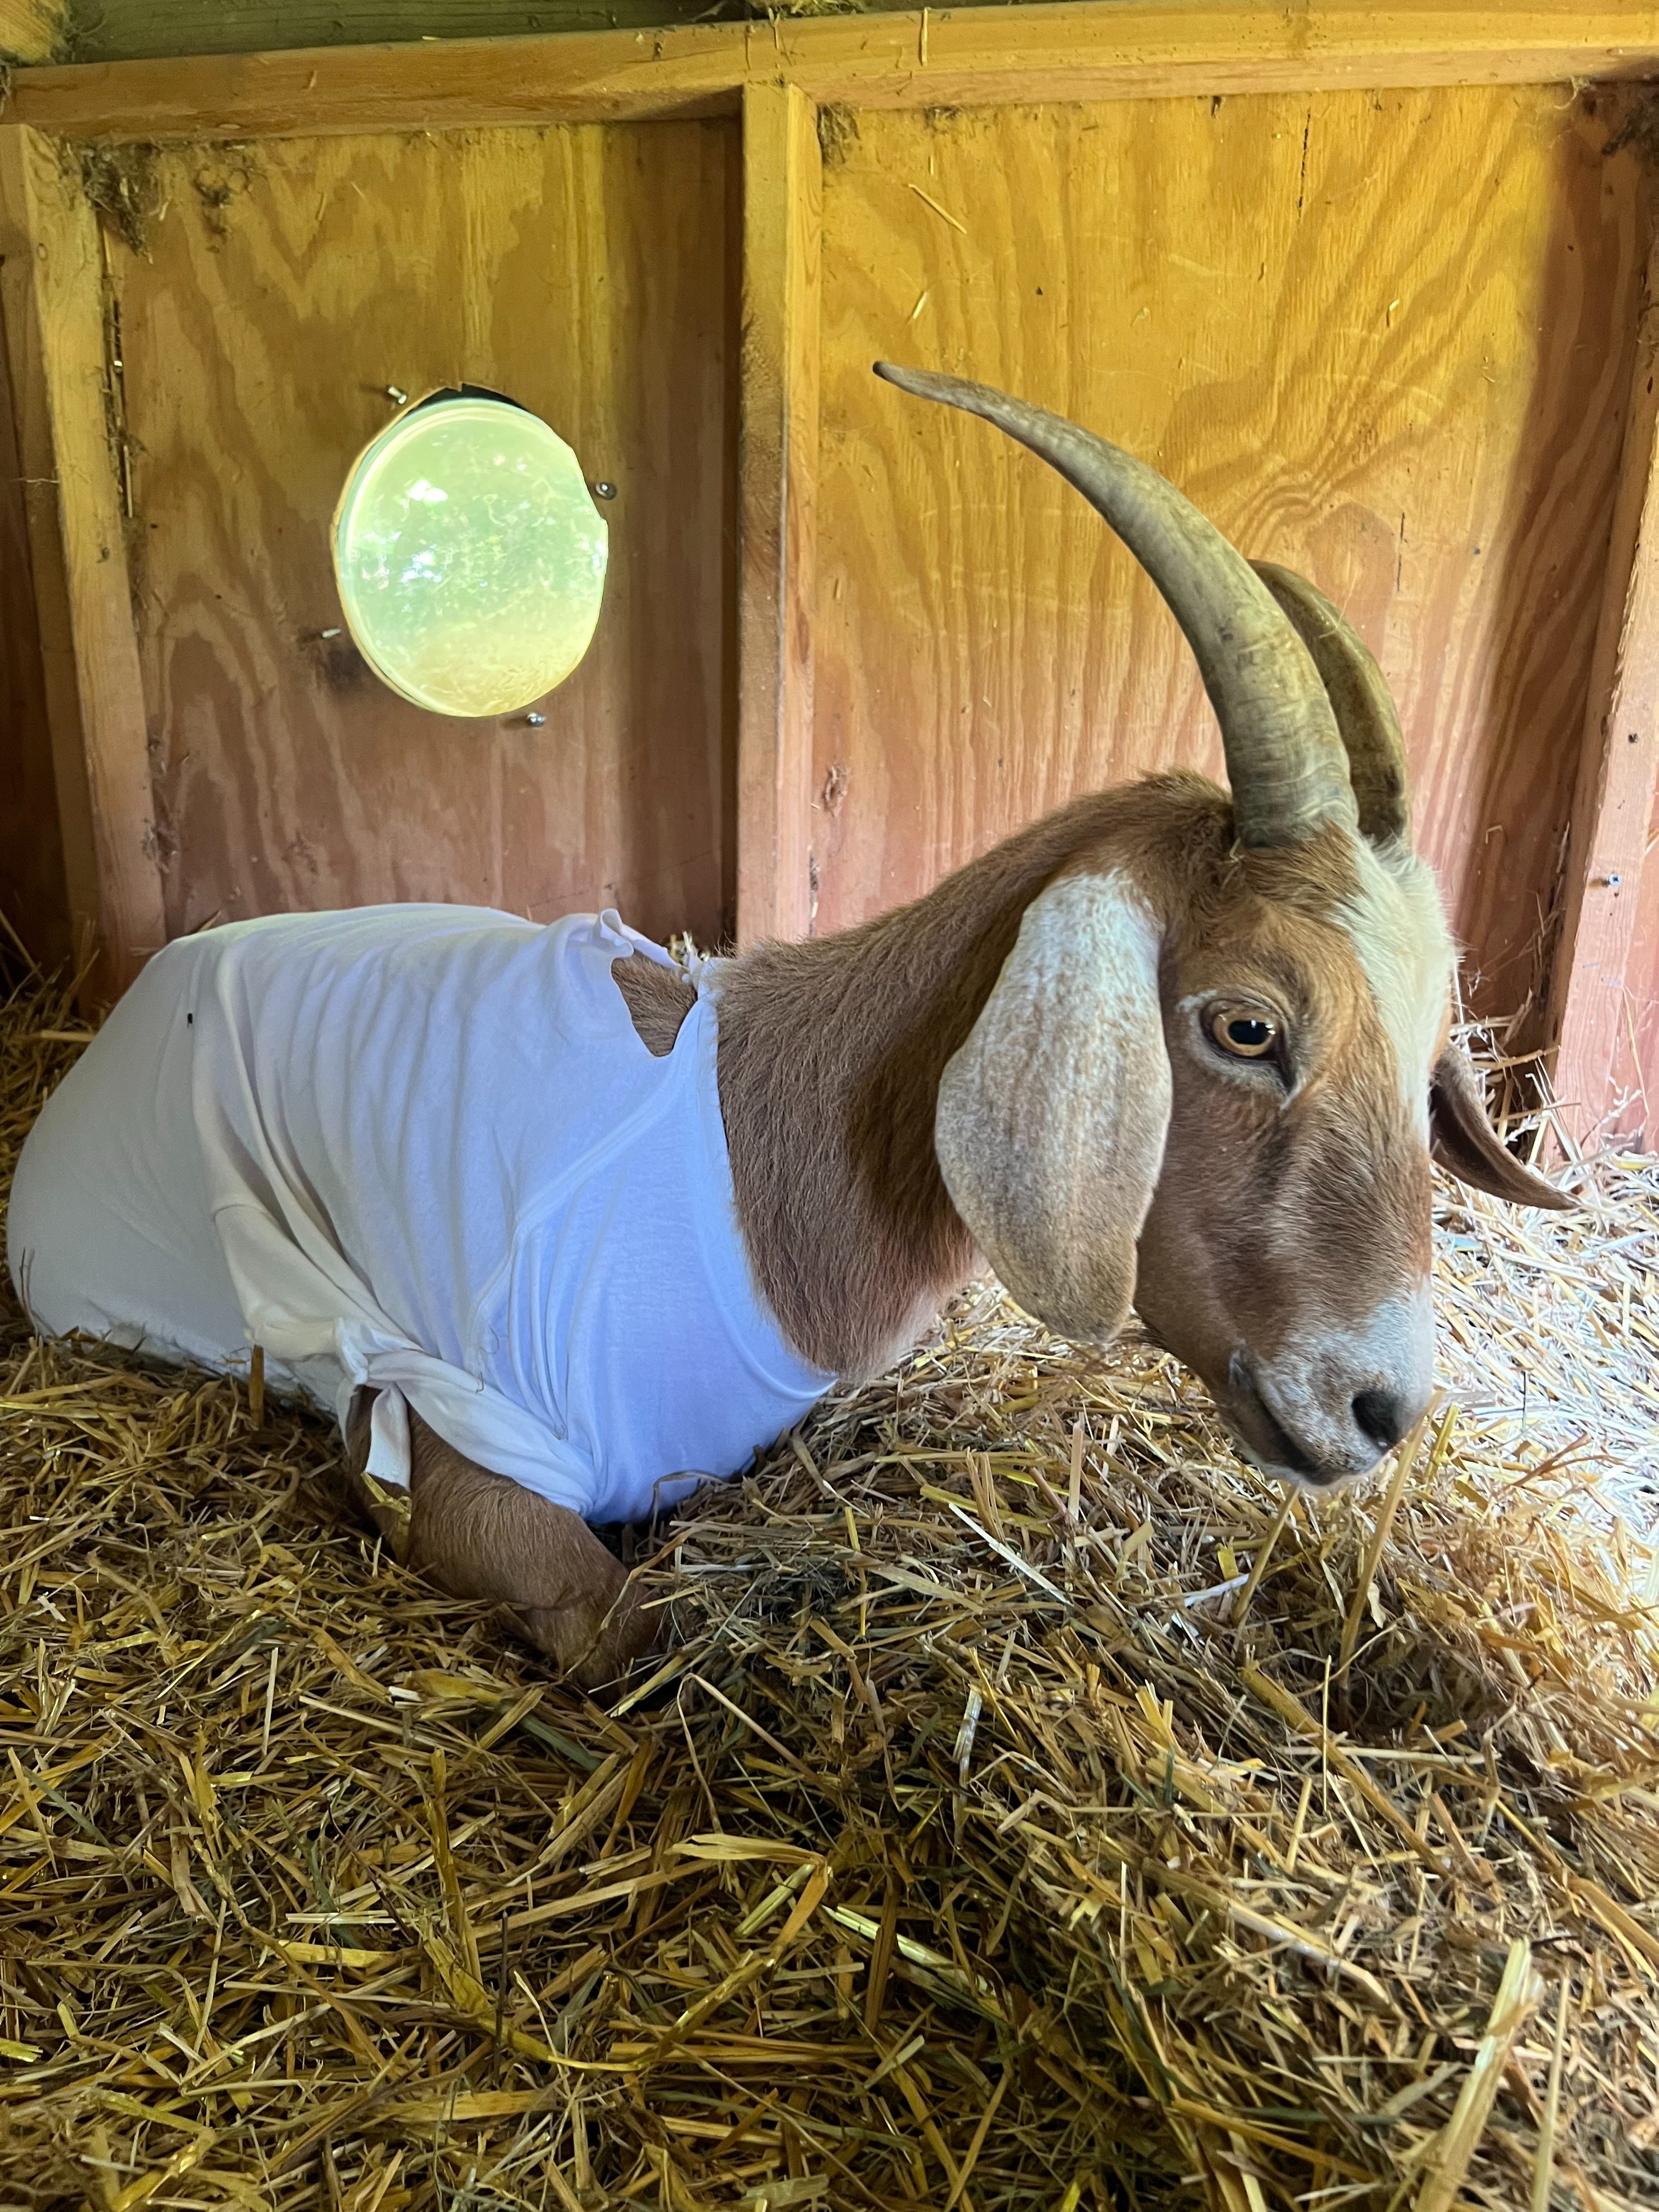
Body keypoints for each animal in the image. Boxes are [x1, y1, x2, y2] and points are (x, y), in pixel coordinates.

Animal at [6, 365, 1568, 1691]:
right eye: (1245, 1025)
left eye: (1428, 1034)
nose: (1384, 1411)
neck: (755, 1161)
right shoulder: (455, 1437)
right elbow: (621, 1628)